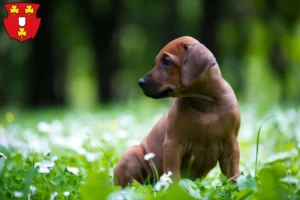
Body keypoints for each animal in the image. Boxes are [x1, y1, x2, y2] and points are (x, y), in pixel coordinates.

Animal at [113, 35, 240, 186]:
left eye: (167, 61)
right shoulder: (173, 144)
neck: (203, 104)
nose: (140, 82)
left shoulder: (231, 144)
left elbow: (233, 174)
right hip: (133, 154)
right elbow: (173, 174)